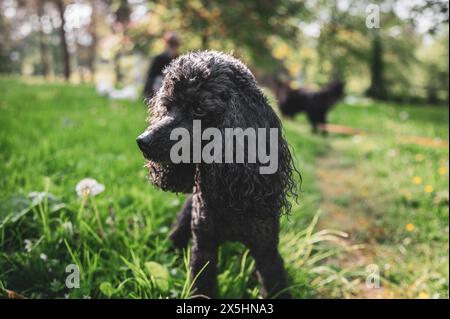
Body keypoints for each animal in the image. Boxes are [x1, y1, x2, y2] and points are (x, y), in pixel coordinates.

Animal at [137, 51, 298, 298]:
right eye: (168, 105)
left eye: (198, 110)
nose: (142, 141)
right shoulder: (204, 246)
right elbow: (201, 285)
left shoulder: (266, 250)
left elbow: (274, 283)